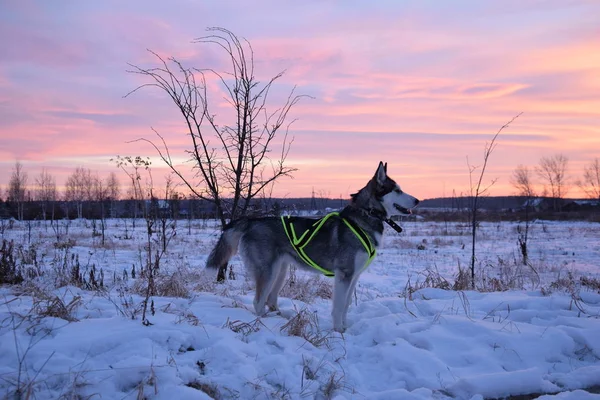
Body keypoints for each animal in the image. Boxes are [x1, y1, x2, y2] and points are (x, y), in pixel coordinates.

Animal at [205, 161, 418, 332]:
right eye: (397, 190)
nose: (417, 200)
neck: (367, 215)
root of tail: (251, 221)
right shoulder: (344, 275)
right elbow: (339, 306)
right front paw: (339, 331)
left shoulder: (354, 276)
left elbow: (346, 304)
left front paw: (345, 326)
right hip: (268, 271)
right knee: (258, 302)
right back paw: (264, 324)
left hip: (280, 271)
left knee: (270, 300)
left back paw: (279, 318)